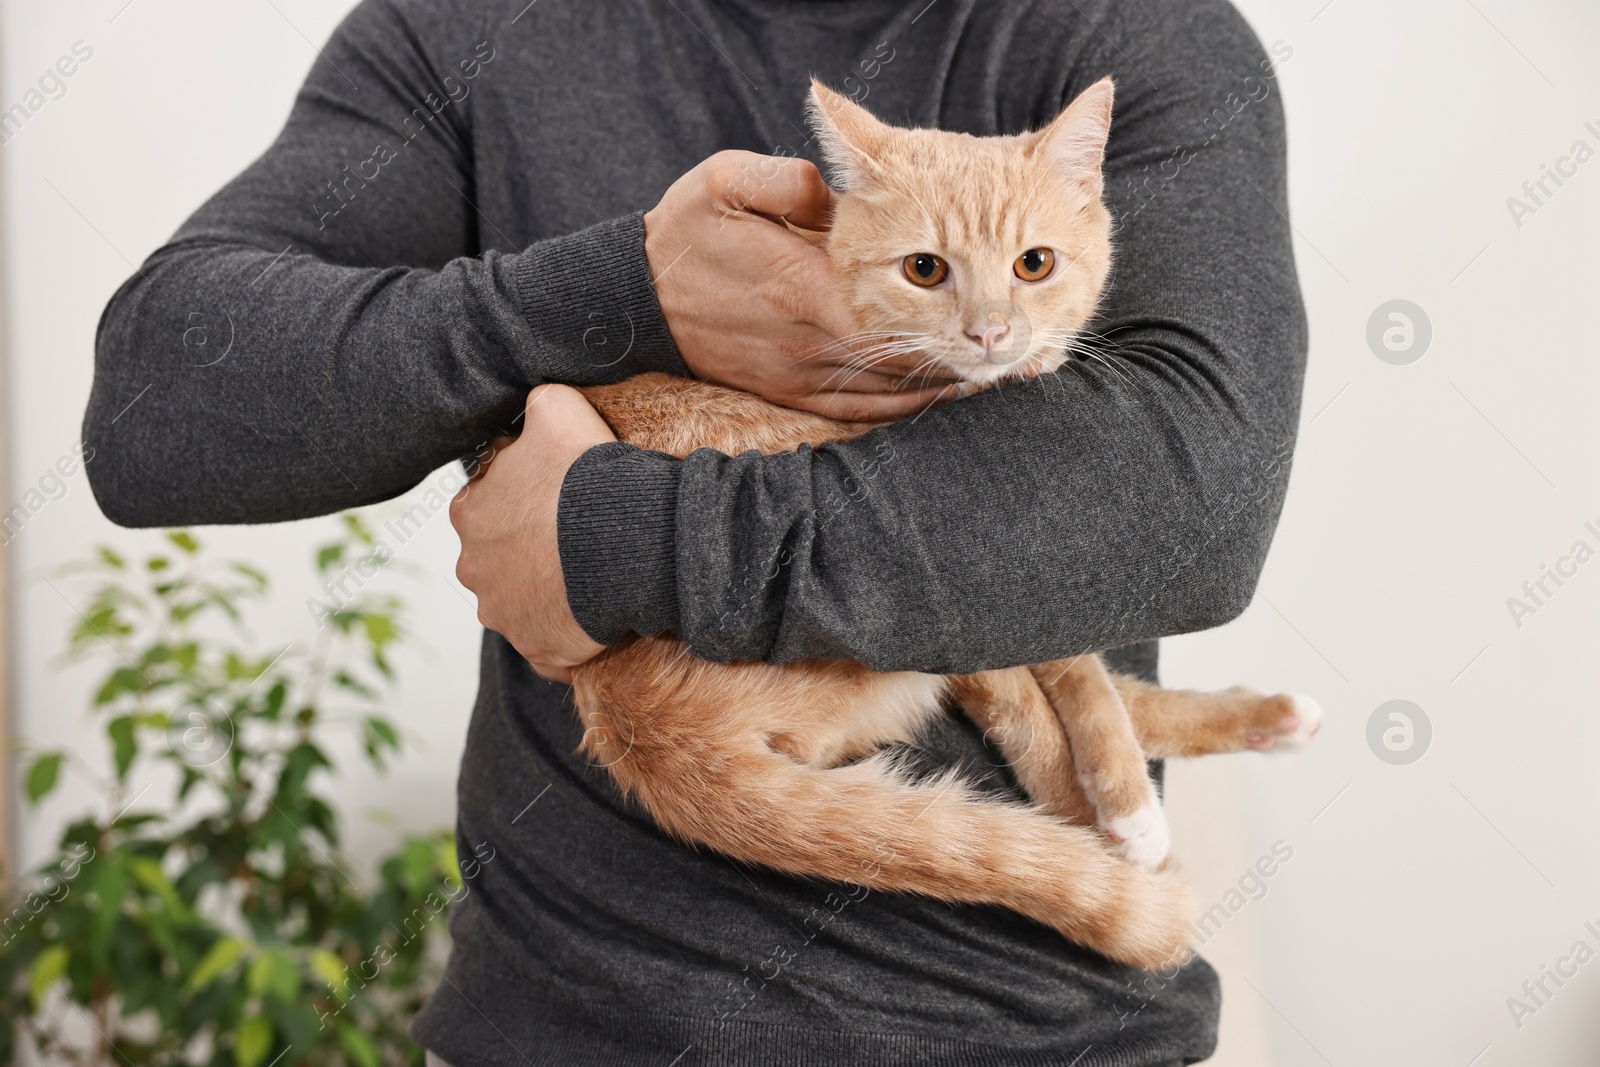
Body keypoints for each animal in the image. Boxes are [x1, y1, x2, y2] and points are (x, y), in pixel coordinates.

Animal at [569, 79, 1318, 972]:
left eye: (1035, 264)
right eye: (925, 269)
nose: (989, 331)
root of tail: (640, 729)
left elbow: (1087, 666)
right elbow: (1075, 673)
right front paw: (1123, 797)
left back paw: (1266, 718)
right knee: (1035, 710)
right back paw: (1112, 826)